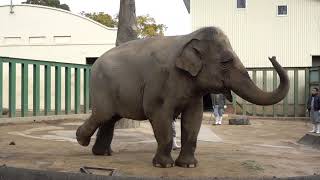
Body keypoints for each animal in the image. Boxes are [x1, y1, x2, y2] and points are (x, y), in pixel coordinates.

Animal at [75, 26, 290, 168]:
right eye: (225, 62)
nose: (272, 56)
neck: (189, 36)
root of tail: (95, 63)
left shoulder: (192, 90)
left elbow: (193, 119)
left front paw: (188, 165)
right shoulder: (159, 81)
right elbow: (160, 116)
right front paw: (164, 166)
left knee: (110, 119)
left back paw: (102, 153)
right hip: (101, 87)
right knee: (103, 115)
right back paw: (81, 140)